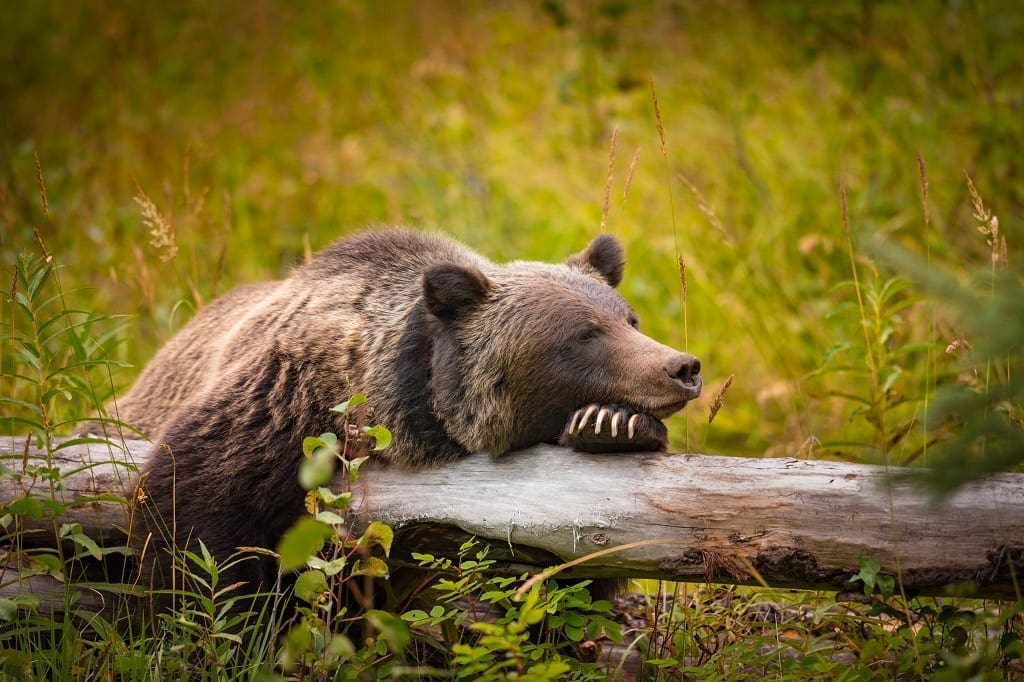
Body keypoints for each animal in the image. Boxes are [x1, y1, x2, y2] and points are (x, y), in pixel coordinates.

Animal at [117, 231, 696, 598]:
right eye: (584, 335)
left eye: (629, 319)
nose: (682, 367)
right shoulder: (282, 407)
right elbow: (194, 517)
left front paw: (612, 425)